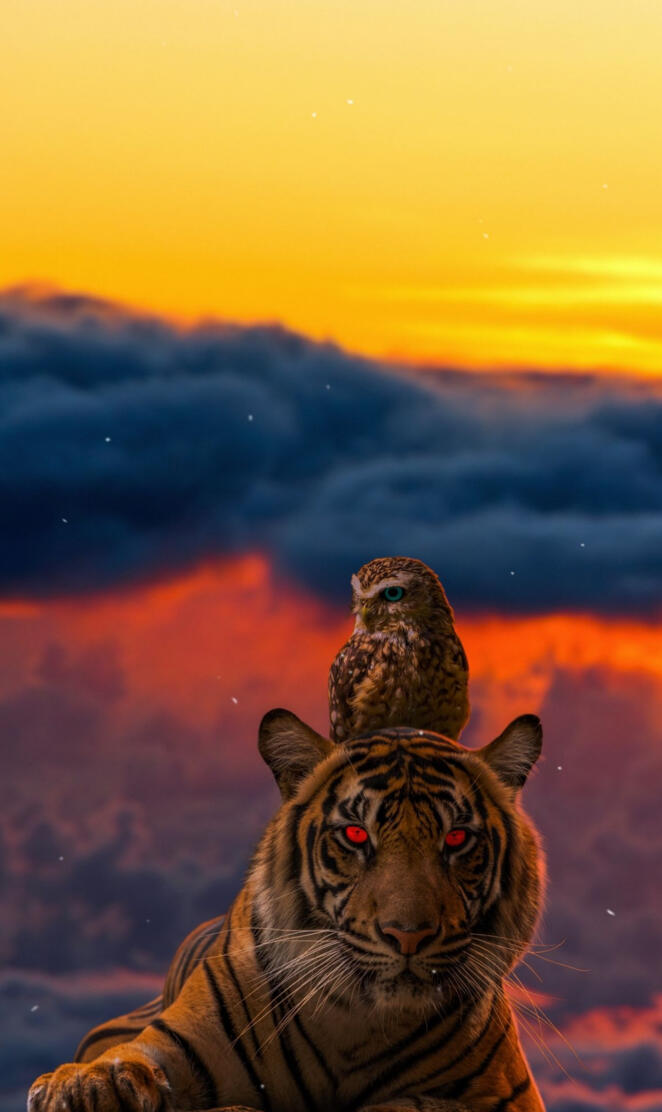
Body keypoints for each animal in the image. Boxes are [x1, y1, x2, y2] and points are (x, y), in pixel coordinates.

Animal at [28, 706, 546, 1112]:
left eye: (456, 838)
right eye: (355, 834)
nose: (408, 935)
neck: (357, 1022)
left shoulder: (506, 1096)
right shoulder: (177, 1042)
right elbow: (129, 1060)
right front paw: (84, 1087)